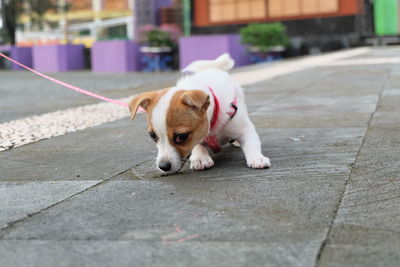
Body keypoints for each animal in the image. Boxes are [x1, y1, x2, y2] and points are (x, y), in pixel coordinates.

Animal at [130, 53, 270, 175]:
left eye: (181, 136)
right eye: (152, 136)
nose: (163, 166)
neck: (212, 126)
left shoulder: (245, 129)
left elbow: (251, 143)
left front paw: (257, 158)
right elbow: (197, 145)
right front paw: (200, 157)